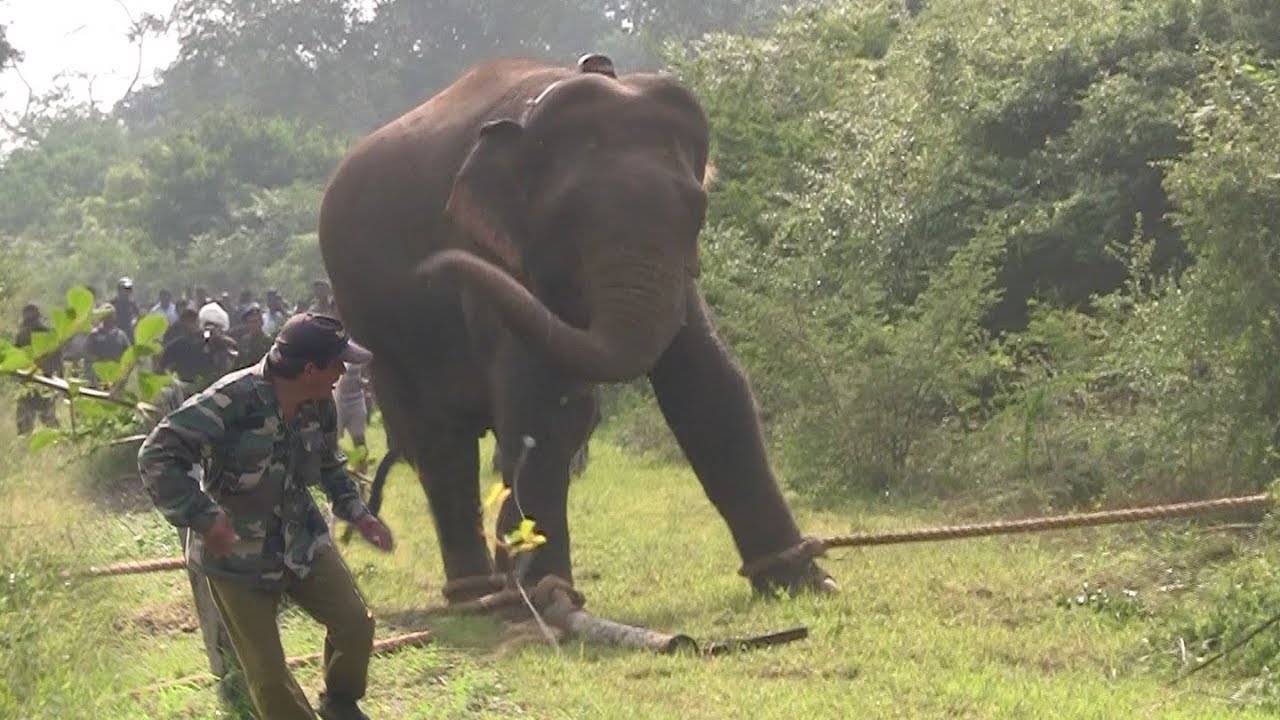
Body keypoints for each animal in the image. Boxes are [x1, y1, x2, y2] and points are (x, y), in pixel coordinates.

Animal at [317, 53, 839, 599]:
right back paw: (476, 593)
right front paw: (549, 595)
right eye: (565, 217)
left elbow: (709, 381)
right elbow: (539, 402)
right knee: (437, 438)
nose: (432, 268)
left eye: (697, 212)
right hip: (379, 335)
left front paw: (804, 580)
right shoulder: (494, 250)